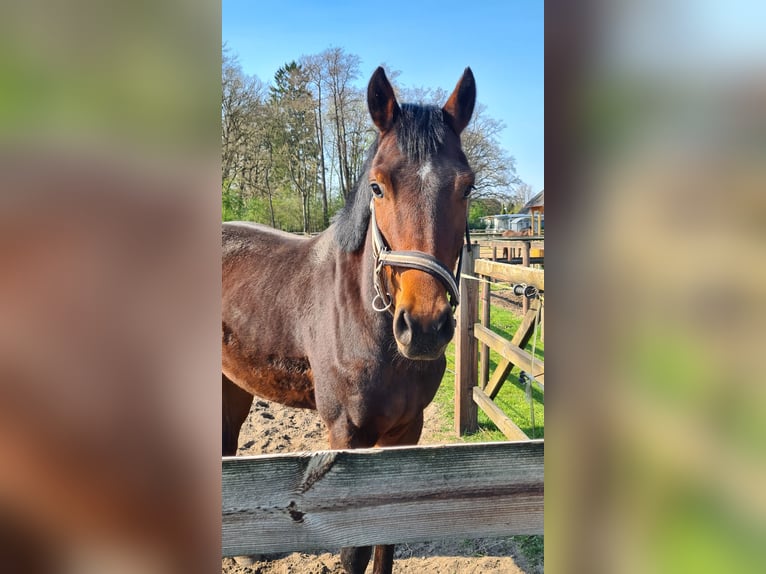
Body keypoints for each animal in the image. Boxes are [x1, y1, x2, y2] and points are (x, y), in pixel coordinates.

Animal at [222, 66, 476, 574]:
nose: (424, 327)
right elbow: (354, 549)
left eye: (467, 186)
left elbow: (386, 541)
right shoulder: (346, 437)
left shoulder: (406, 433)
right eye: (377, 186)